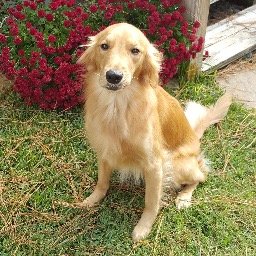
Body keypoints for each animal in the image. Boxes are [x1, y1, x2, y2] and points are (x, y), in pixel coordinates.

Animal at [76, 22, 232, 242]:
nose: (113, 76)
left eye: (135, 51)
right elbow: (102, 182)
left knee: (201, 176)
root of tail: (194, 138)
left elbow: (151, 201)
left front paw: (144, 227)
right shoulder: (105, 151)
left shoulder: (155, 163)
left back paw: (184, 197)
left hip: (177, 165)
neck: (118, 107)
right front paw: (92, 200)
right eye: (104, 46)